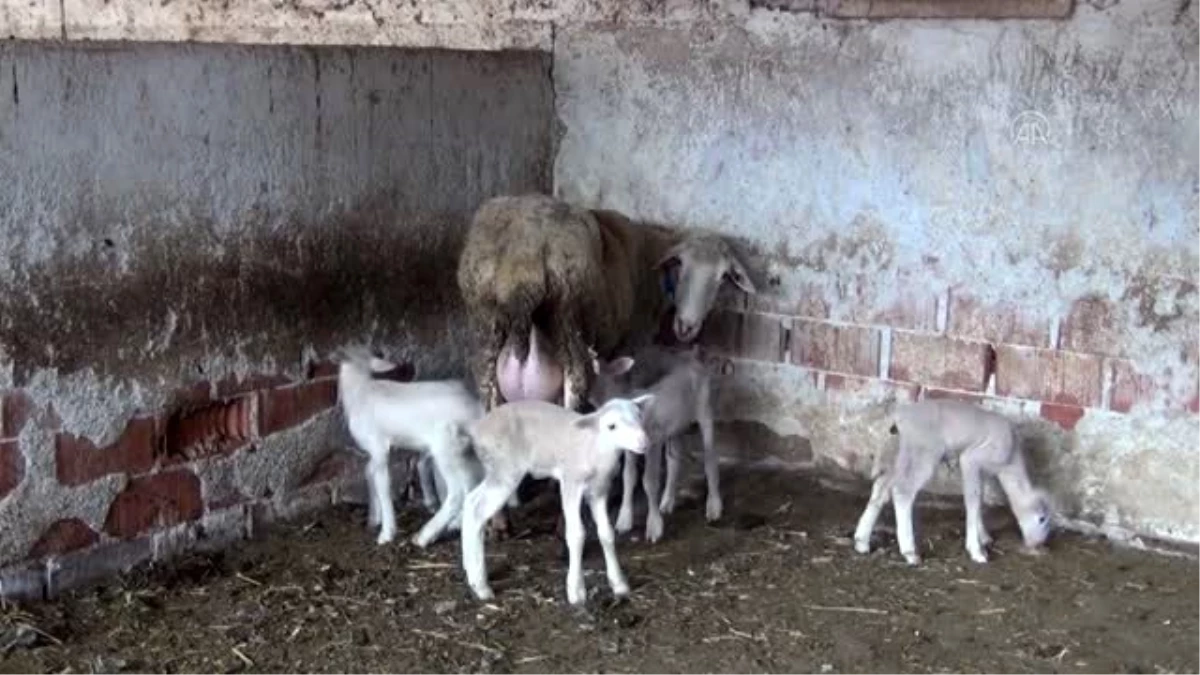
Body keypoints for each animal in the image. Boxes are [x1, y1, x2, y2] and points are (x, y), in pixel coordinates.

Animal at [333, 345, 487, 547]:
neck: (360, 389)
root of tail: (476, 412)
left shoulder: (378, 446)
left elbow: (382, 484)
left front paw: (386, 532)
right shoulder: (377, 451)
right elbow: (369, 472)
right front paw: (374, 518)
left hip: (446, 448)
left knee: (457, 493)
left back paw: (425, 535)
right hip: (465, 452)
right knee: (472, 485)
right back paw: (456, 524)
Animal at [453, 190, 753, 415]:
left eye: (722, 278)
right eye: (681, 265)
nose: (687, 326)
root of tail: (523, 259)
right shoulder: (633, 342)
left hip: (485, 325)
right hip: (569, 315)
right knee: (574, 389)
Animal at [456, 391, 657, 600]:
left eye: (639, 416)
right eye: (612, 426)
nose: (643, 442)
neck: (596, 447)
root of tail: (477, 429)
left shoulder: (599, 490)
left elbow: (606, 533)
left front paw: (619, 584)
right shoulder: (571, 482)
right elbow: (577, 534)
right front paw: (576, 591)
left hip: (496, 470)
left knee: (470, 501)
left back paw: (469, 570)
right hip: (505, 469)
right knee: (478, 511)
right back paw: (481, 586)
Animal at [588, 341, 715, 540]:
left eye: (593, 369)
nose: (585, 395)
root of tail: (693, 357)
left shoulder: (653, 441)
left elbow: (649, 481)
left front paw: (654, 528)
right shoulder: (631, 448)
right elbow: (628, 477)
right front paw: (623, 522)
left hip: (705, 406)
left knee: (710, 457)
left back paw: (714, 507)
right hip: (676, 425)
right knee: (674, 460)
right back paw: (667, 502)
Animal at [849, 398, 1056, 562]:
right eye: (1042, 519)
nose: (1038, 544)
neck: (1010, 463)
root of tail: (899, 417)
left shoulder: (980, 470)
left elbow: (978, 499)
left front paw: (984, 537)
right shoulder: (971, 459)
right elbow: (973, 500)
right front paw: (976, 551)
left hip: (899, 453)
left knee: (881, 487)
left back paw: (862, 542)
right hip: (924, 453)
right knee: (902, 491)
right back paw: (909, 552)